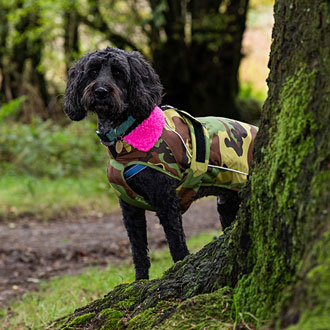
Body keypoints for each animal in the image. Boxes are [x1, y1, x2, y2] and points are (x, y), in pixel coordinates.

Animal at [63, 45, 240, 278]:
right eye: (92, 71)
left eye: (119, 73)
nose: (100, 91)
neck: (127, 131)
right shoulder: (129, 207)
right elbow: (138, 250)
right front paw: (140, 281)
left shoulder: (166, 199)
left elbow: (176, 243)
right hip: (227, 206)